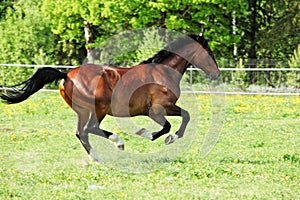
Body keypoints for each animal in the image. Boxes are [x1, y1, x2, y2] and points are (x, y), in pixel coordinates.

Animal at [0, 33, 220, 162]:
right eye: (209, 52)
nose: (216, 74)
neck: (163, 72)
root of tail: (66, 75)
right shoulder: (158, 109)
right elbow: (175, 122)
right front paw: (154, 135)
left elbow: (183, 117)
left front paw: (165, 137)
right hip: (100, 108)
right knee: (91, 129)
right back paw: (118, 143)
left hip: (83, 111)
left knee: (82, 132)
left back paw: (97, 158)